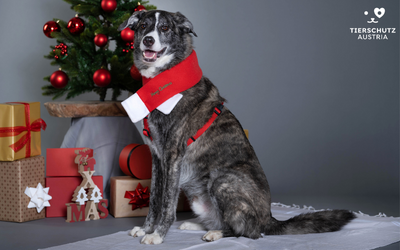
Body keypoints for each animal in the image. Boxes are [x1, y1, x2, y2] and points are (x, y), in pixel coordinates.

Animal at [117, 9, 354, 244]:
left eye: (165, 28)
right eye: (143, 26)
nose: (148, 40)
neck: (164, 80)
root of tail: (269, 218)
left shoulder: (173, 156)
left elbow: (167, 202)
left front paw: (157, 235)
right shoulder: (157, 158)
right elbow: (154, 200)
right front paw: (146, 229)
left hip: (222, 180)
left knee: (250, 231)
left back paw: (217, 233)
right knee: (224, 221)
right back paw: (199, 225)